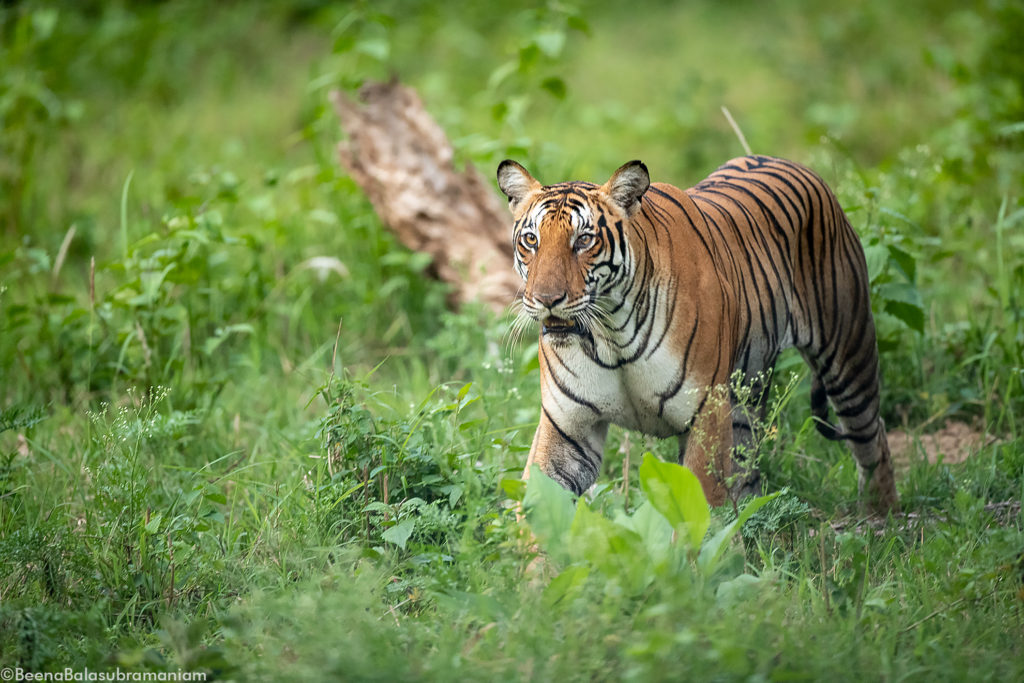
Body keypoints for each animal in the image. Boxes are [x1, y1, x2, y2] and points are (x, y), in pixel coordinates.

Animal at [495, 153, 897, 511]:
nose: (546, 299)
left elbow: (700, 509)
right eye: (531, 240)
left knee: (873, 434)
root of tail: (797, 165)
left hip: (848, 356)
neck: (611, 334)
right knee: (747, 471)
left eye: (583, 241)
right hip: (745, 399)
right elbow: (538, 506)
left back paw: (879, 515)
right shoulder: (567, 425)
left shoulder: (706, 415)